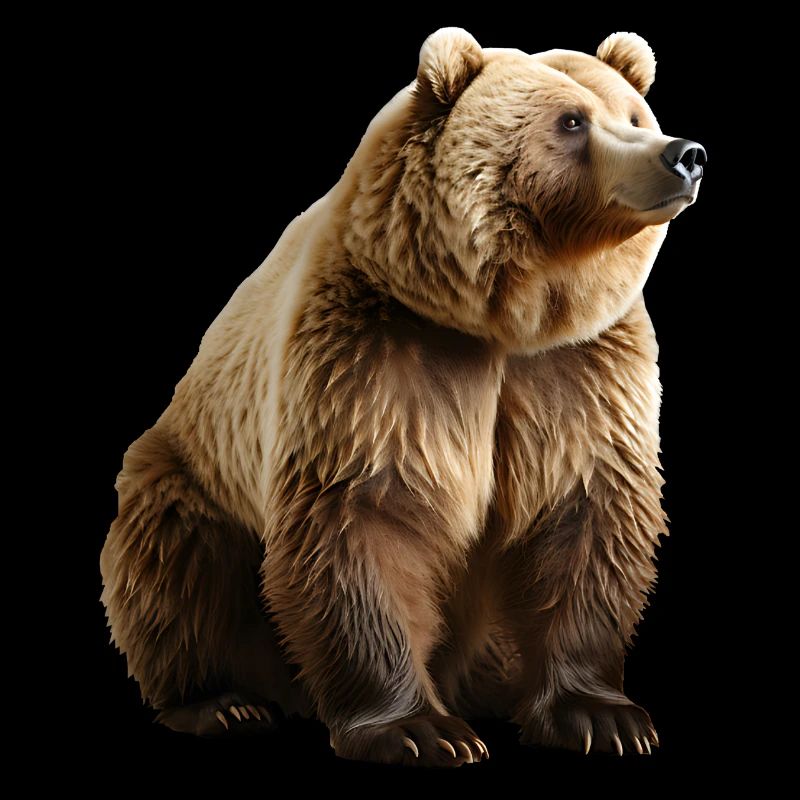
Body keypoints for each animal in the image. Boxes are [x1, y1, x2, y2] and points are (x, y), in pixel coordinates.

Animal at [100, 28, 706, 766]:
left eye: (636, 114)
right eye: (571, 121)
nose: (683, 153)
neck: (505, 318)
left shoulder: (579, 372)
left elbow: (583, 514)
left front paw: (603, 716)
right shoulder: (377, 358)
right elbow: (364, 515)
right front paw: (419, 729)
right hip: (190, 479)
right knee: (178, 566)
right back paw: (221, 702)